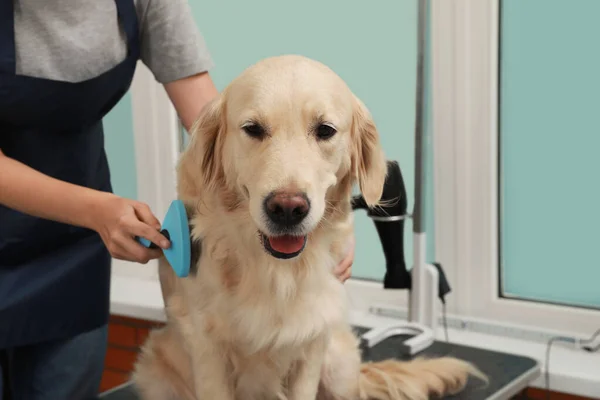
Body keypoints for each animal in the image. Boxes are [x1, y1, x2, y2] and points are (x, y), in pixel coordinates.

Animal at [131, 54, 482, 400]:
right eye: (252, 129)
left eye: (325, 130)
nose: (287, 209)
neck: (276, 271)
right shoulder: (207, 350)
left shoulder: (313, 339)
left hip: (338, 366)